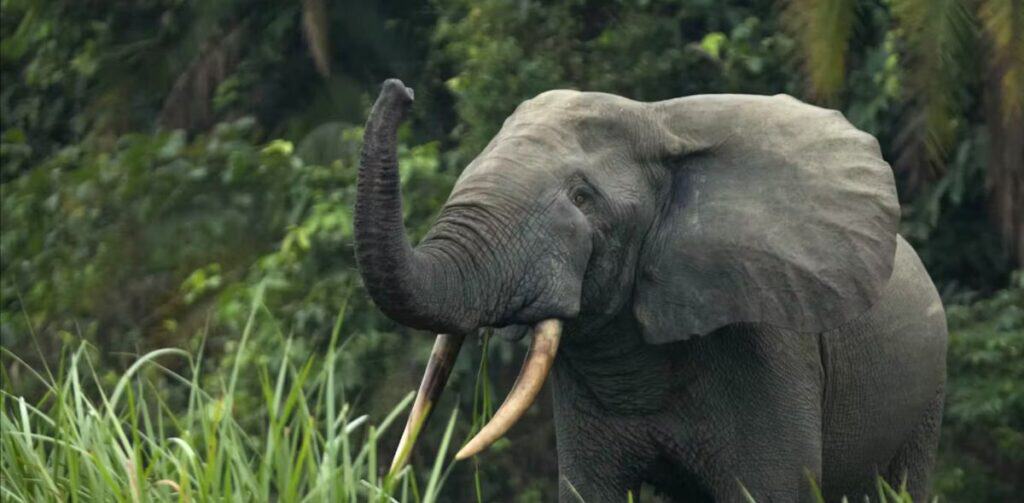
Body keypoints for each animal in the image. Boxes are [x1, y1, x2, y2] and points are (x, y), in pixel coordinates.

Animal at [354, 79, 948, 502]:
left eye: (583, 197)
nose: (401, 92)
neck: (659, 122)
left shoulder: (769, 346)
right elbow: (589, 490)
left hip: (926, 394)